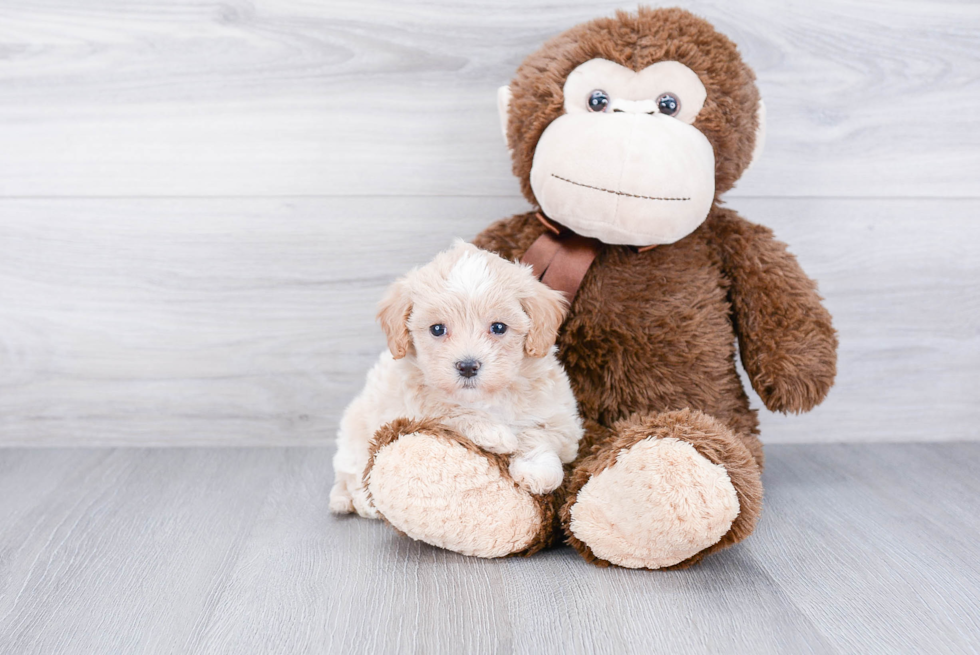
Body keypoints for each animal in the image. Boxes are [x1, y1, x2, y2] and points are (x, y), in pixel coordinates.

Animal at [334, 238, 584, 520]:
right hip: (356, 431)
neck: (486, 398)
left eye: (499, 327)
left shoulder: (563, 420)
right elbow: (452, 412)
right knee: (351, 472)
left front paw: (536, 470)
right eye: (437, 329)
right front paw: (495, 434)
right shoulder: (412, 410)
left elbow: (538, 433)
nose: (467, 366)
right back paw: (361, 501)